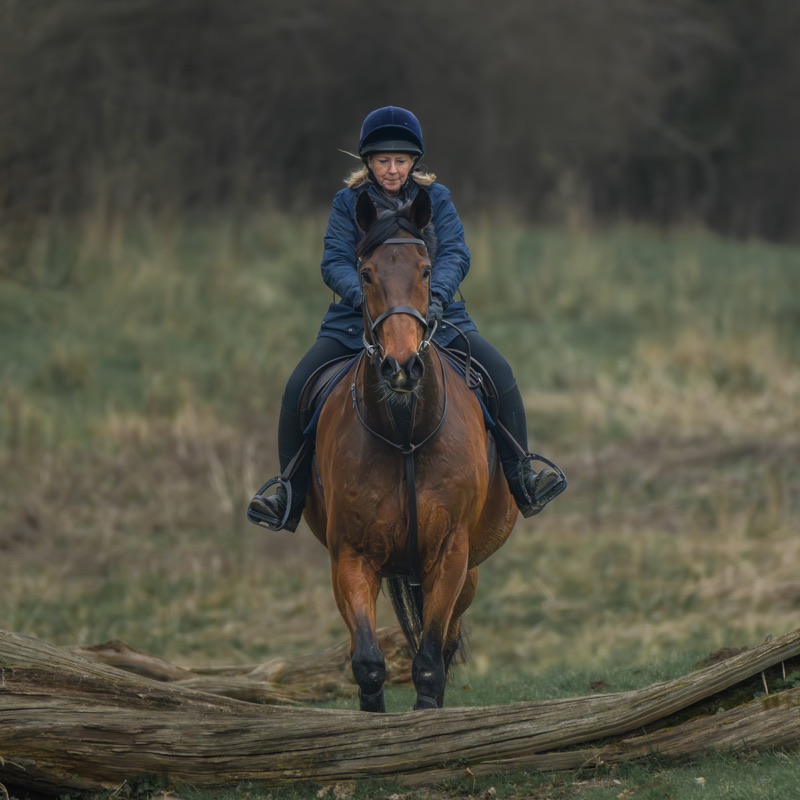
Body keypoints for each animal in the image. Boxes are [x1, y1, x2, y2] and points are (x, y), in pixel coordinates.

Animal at [303, 188, 519, 711]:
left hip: (467, 571)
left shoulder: (450, 554)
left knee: (446, 641)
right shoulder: (352, 555)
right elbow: (367, 663)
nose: (401, 367)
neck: (404, 433)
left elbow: (429, 663)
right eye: (365, 273)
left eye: (425, 270)